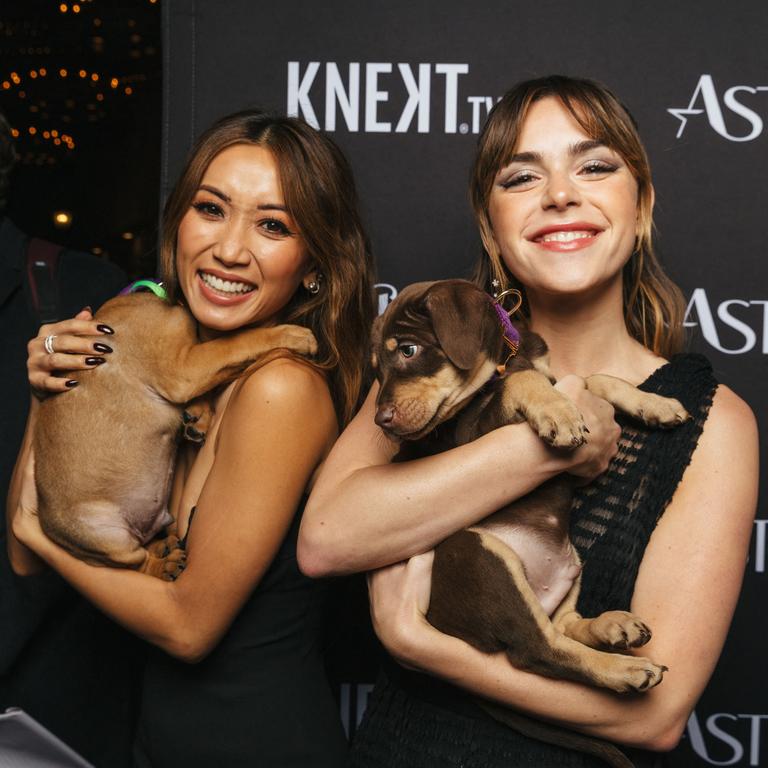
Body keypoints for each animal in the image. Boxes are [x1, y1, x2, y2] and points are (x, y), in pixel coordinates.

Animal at [34, 292, 316, 576]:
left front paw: (199, 416)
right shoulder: (182, 368)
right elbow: (236, 342)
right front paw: (292, 335)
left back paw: (163, 546)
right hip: (107, 539)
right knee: (137, 563)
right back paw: (165, 565)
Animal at [372, 280, 688, 768]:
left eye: (408, 350)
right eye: (375, 369)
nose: (379, 421)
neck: (503, 359)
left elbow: (593, 378)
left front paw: (655, 404)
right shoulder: (470, 435)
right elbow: (519, 383)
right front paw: (556, 412)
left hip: (569, 561)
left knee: (564, 624)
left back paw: (611, 627)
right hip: (479, 553)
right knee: (539, 650)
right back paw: (626, 668)